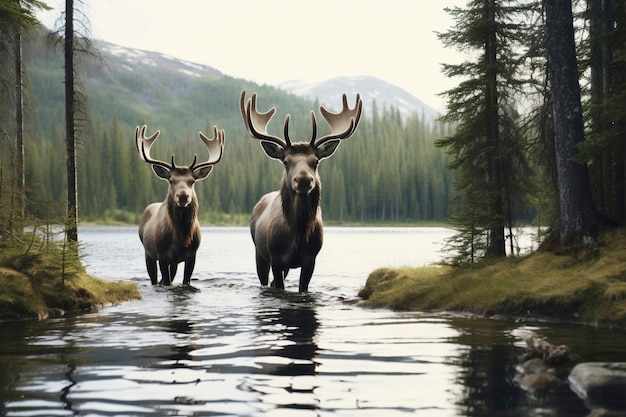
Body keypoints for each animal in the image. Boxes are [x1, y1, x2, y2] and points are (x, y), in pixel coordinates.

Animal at [134, 123, 224, 284]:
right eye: (171, 180)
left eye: (192, 181)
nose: (183, 196)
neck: (181, 238)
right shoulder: (162, 256)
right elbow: (166, 282)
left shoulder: (191, 257)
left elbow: (185, 280)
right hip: (148, 253)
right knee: (154, 279)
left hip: (173, 262)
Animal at [240, 89, 366, 290]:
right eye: (285, 161)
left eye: (316, 161)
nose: (304, 179)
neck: (297, 234)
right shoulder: (275, 258)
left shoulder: (310, 260)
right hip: (259, 252)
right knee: (264, 281)